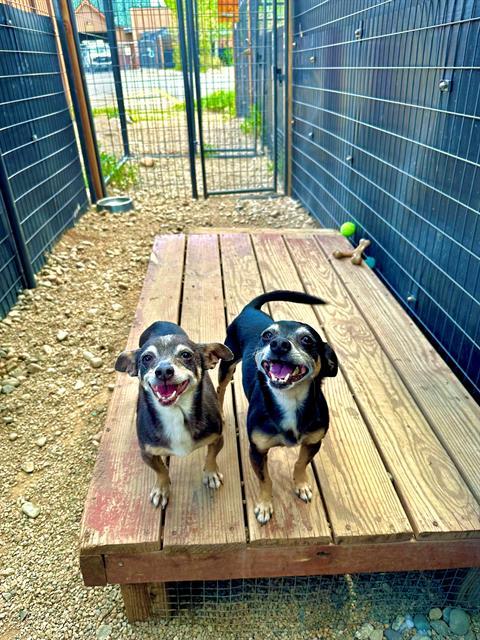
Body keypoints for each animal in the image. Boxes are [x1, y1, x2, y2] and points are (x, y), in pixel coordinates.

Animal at [118, 322, 234, 508]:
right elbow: (161, 470)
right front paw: (161, 489)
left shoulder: (217, 438)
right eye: (147, 358)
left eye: (186, 355)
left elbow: (211, 456)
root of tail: (159, 322)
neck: (175, 413)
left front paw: (211, 474)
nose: (164, 371)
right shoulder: (148, 454)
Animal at [218, 290, 338, 524]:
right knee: (221, 388)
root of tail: (251, 309)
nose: (279, 344)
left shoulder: (313, 442)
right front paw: (265, 506)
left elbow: (301, 463)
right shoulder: (257, 451)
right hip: (227, 363)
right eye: (267, 336)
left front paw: (301, 485)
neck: (289, 399)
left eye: (307, 339)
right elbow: (265, 480)